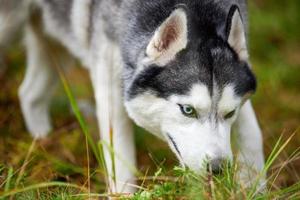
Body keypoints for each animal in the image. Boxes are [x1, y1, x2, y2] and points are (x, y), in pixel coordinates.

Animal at [1, 0, 266, 194]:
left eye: (230, 113)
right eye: (187, 110)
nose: (218, 168)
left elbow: (252, 135)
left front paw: (254, 187)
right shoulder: (109, 86)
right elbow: (120, 158)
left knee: (30, 95)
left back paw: (43, 145)